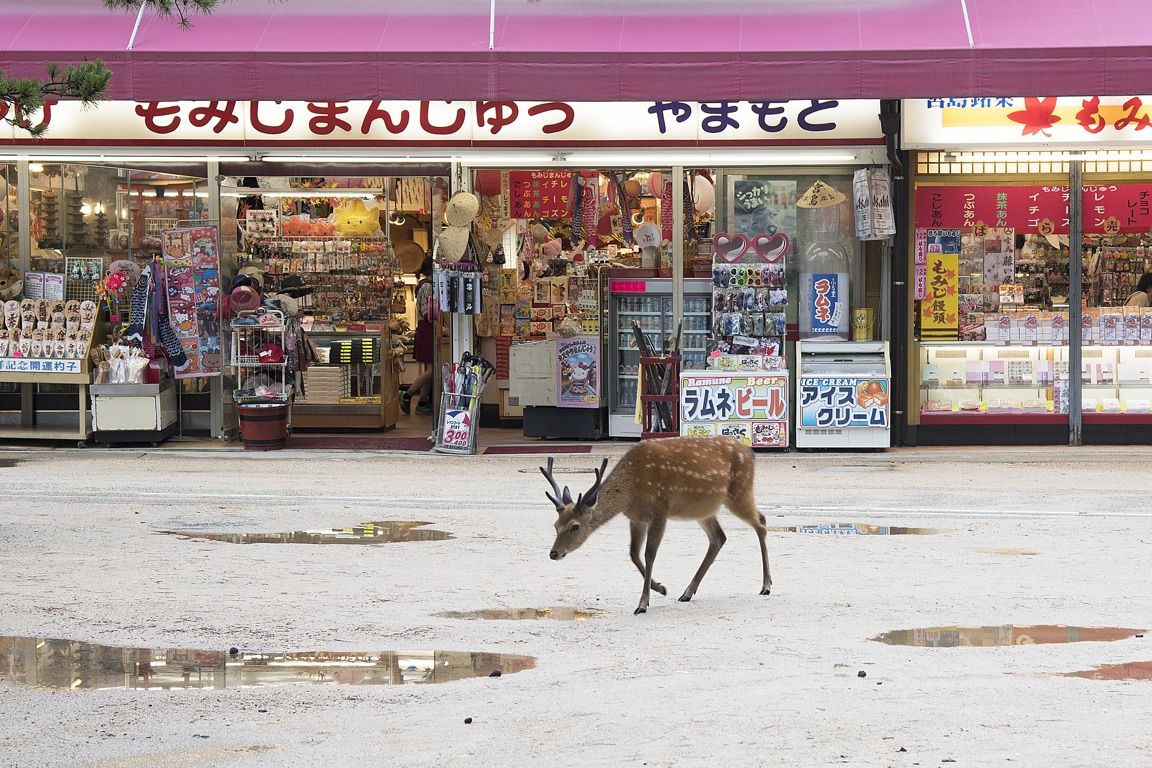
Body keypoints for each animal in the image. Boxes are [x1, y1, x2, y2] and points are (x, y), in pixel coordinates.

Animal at [541, 437, 774, 612]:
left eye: (575, 526)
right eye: (555, 525)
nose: (554, 553)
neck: (629, 493)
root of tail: (751, 454)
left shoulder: (660, 511)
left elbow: (649, 554)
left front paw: (643, 603)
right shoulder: (636, 518)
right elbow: (633, 554)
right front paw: (661, 588)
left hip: (739, 492)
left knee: (761, 523)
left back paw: (766, 585)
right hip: (704, 509)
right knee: (719, 537)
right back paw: (687, 593)